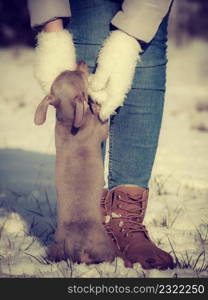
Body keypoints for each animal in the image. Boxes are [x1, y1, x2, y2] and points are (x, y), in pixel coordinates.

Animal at [34, 62, 115, 264]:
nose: (82, 62)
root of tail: (77, 248)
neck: (68, 119)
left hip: (56, 247)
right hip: (105, 247)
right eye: (81, 76)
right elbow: (103, 124)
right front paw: (96, 106)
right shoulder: (99, 130)